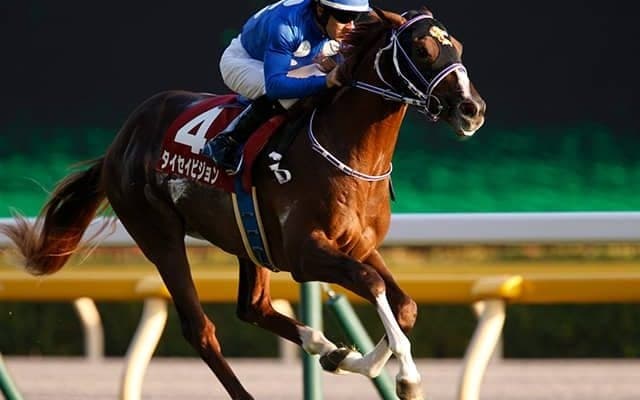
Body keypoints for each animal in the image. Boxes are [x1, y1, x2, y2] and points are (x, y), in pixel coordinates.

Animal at [0, 8, 485, 400]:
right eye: (422, 49)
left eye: (457, 47)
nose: (472, 109)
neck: (345, 150)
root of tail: (120, 143)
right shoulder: (305, 254)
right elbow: (373, 285)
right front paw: (406, 376)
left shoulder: (358, 245)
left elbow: (403, 305)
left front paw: (355, 358)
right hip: (159, 235)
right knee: (200, 330)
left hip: (248, 240)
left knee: (253, 307)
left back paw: (325, 348)